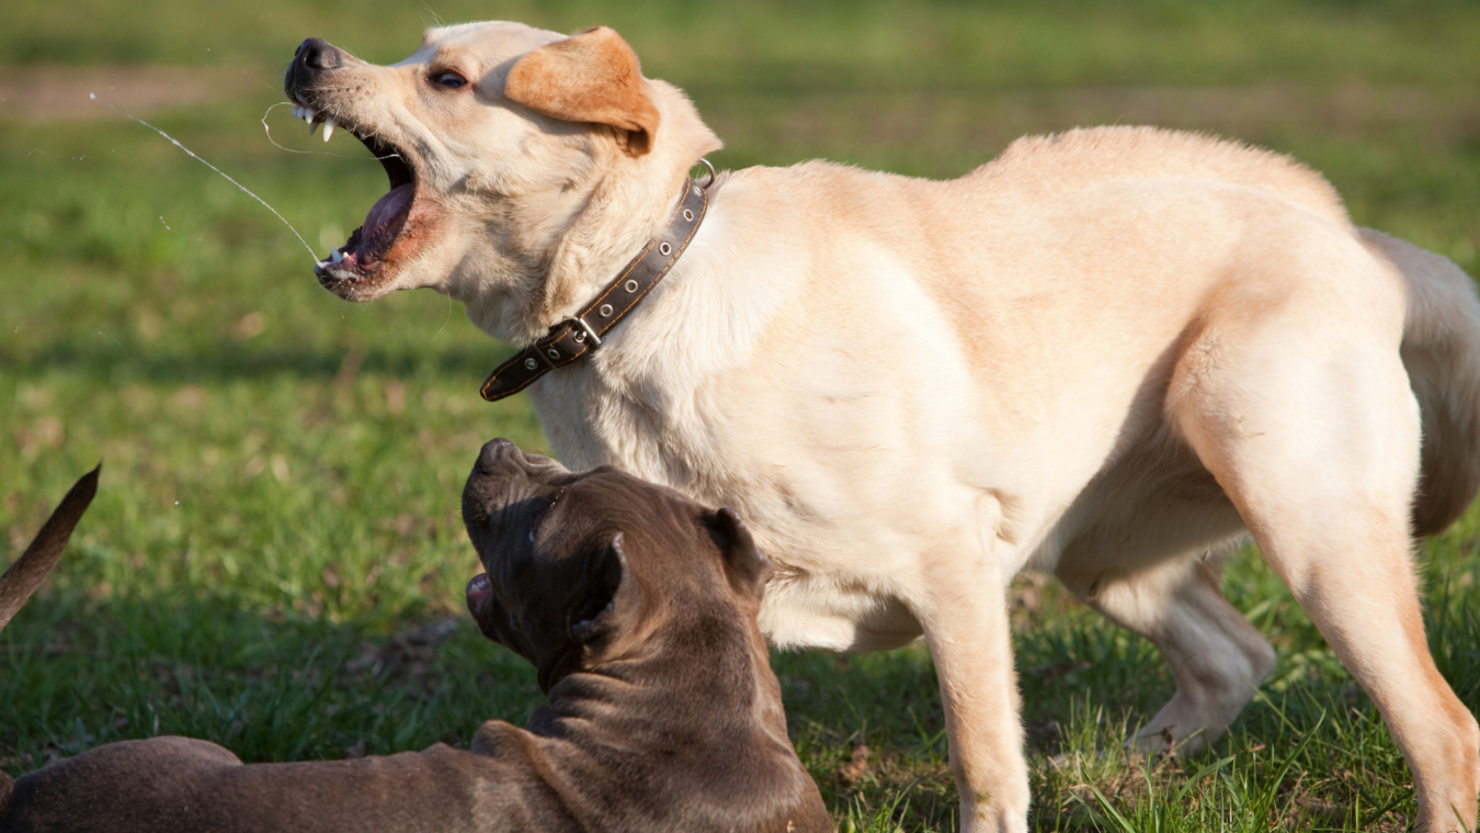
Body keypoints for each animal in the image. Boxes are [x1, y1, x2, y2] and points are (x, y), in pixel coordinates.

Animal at [282, 21, 1480, 833]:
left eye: (443, 77)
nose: (306, 50)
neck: (641, 290)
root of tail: (1362, 240)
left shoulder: (953, 569)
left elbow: (985, 767)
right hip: (1103, 550)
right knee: (1237, 653)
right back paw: (1122, 775)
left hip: (1300, 509)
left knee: (1441, 727)